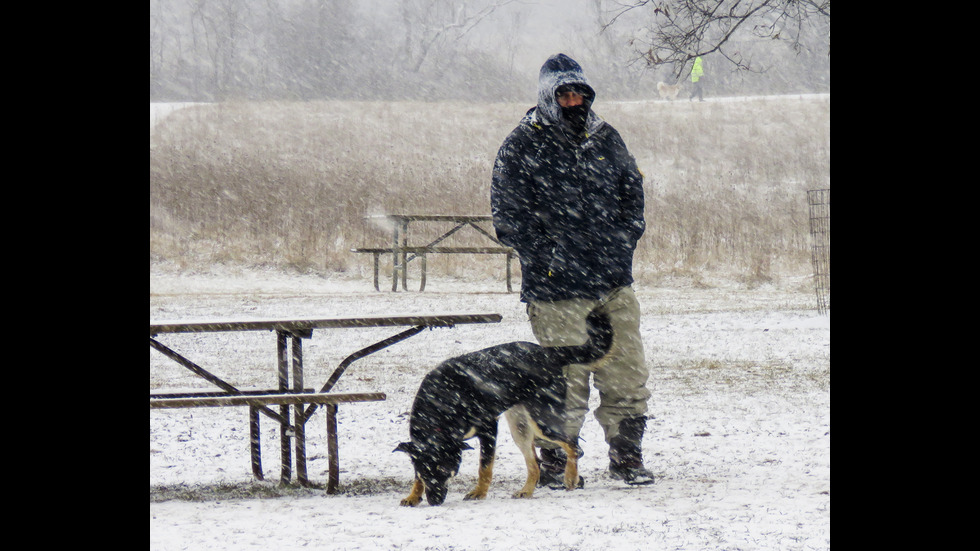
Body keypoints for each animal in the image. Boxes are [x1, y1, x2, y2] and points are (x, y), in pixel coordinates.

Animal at [392, 312, 608, 506]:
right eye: (424, 472)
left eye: (446, 470)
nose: (434, 501)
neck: (441, 406)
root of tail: (548, 353)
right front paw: (414, 495)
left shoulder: (488, 429)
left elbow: (484, 466)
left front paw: (479, 492)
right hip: (520, 428)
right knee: (535, 464)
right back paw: (527, 490)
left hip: (542, 420)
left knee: (572, 445)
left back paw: (570, 477)